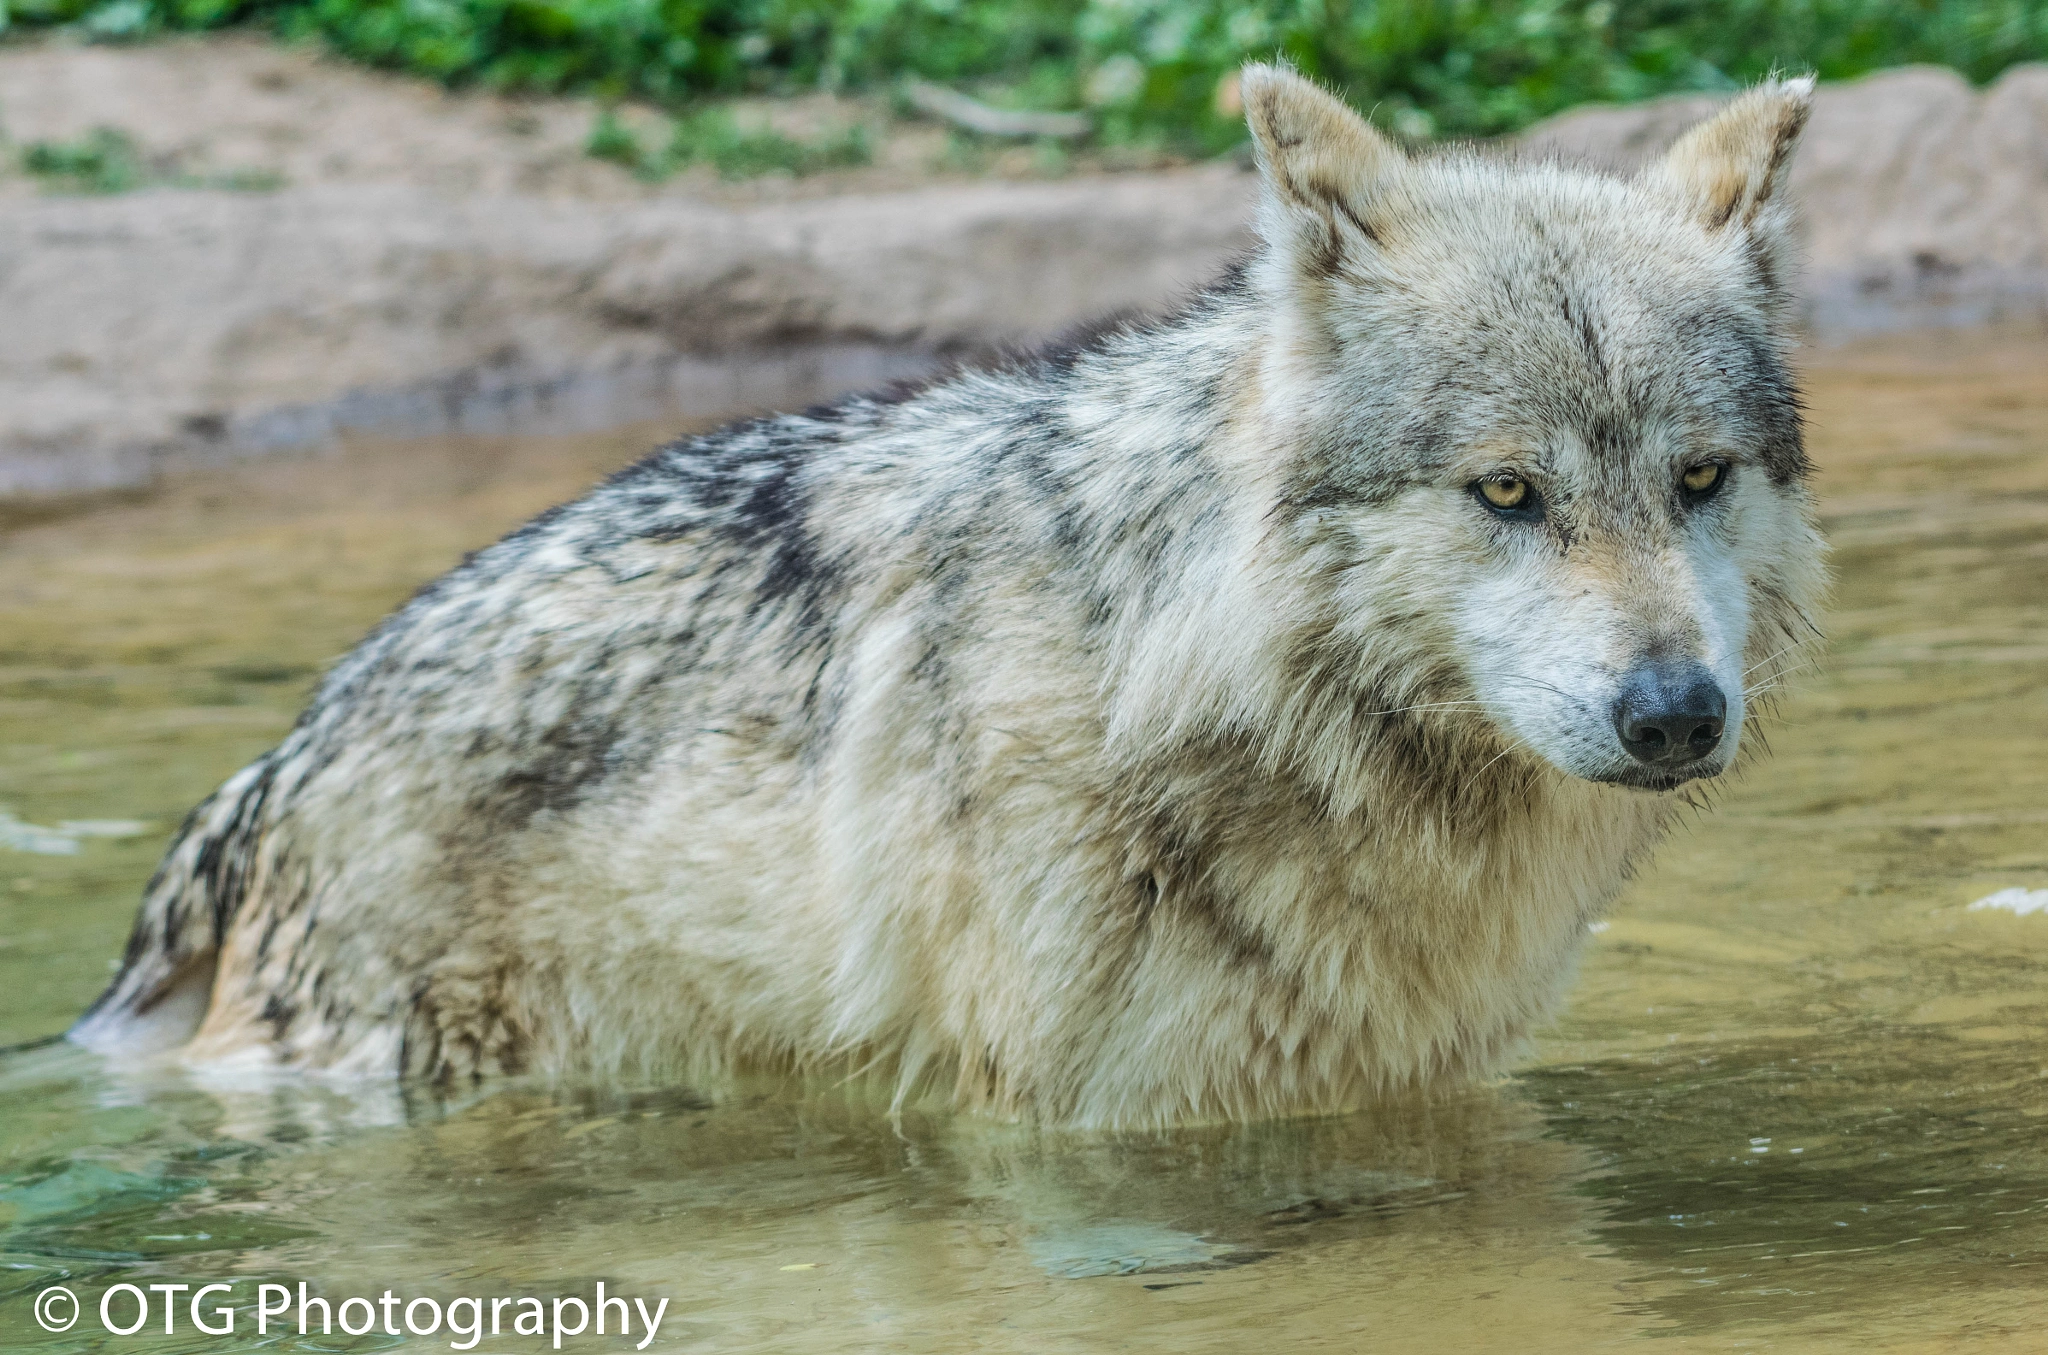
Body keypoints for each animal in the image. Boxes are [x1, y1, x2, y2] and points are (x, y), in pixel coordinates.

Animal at [72, 66, 1825, 1129]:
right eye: (1507, 491)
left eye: (1699, 477)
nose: (1675, 712)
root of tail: (278, 760)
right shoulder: (1077, 1133)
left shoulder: (1410, 1093)